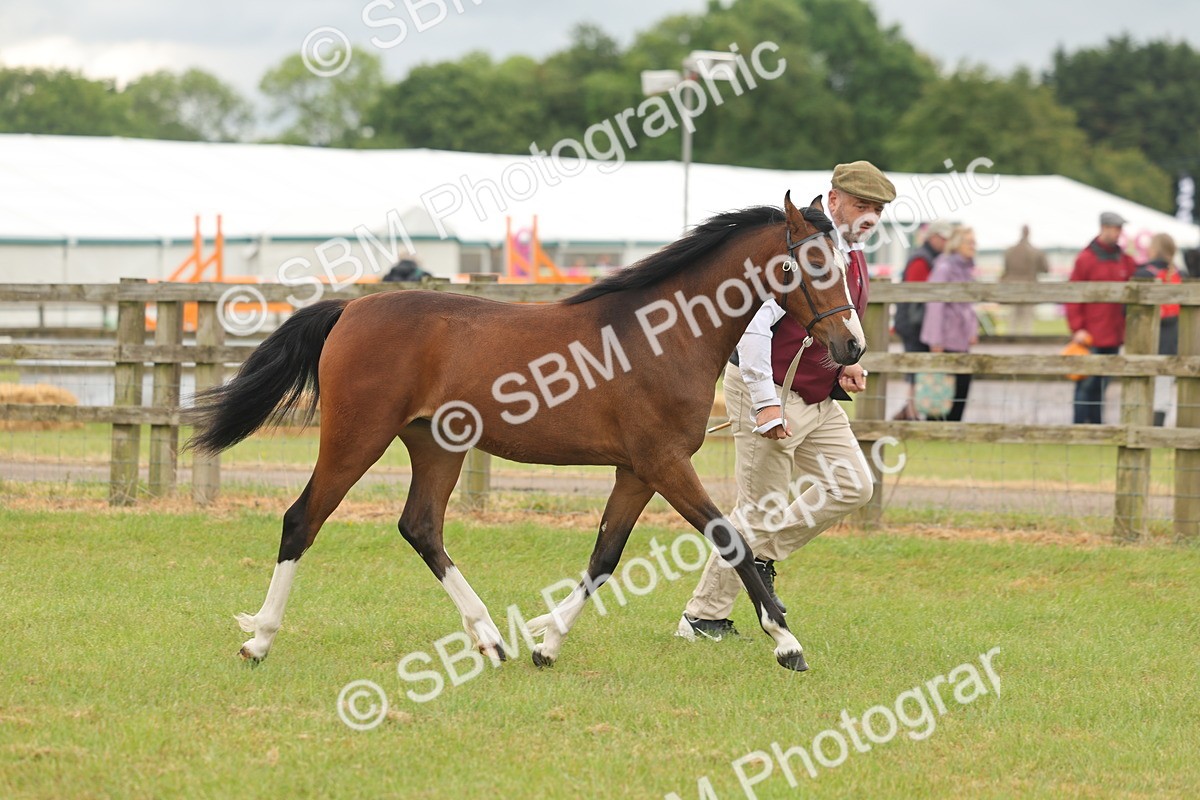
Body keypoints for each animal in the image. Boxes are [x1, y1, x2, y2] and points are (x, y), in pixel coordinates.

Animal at [188, 192, 866, 672]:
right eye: (810, 262)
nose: (851, 346)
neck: (663, 333)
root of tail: (351, 308)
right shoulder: (665, 462)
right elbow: (733, 540)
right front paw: (787, 643)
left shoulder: (637, 469)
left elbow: (605, 556)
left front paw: (547, 643)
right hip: (357, 438)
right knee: (302, 519)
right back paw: (259, 642)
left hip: (437, 446)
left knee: (421, 527)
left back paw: (491, 639)